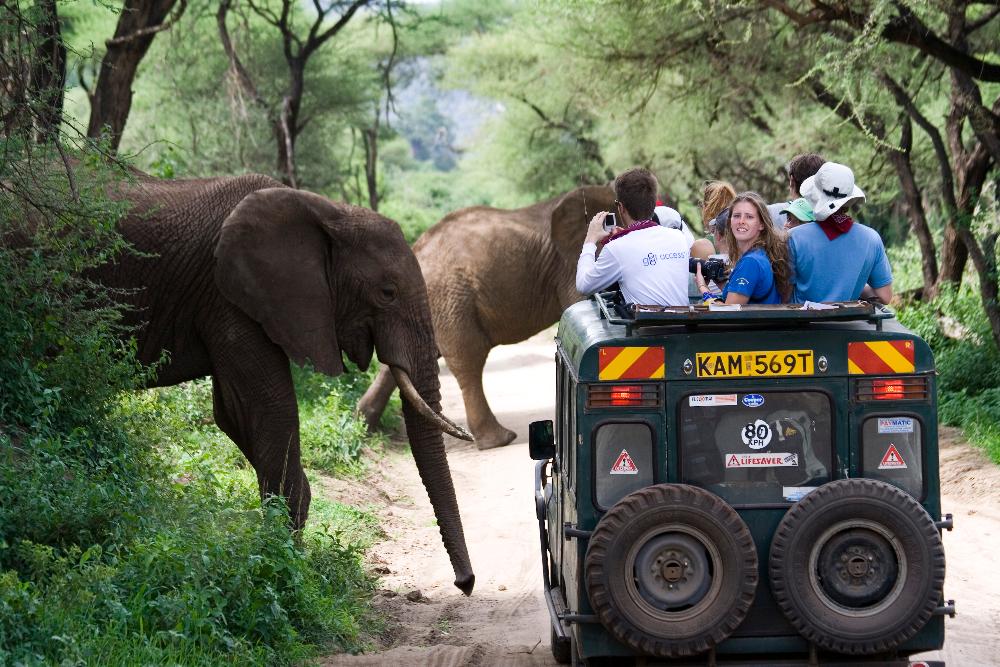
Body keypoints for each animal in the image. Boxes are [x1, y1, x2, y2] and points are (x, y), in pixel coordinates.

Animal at [74, 172, 476, 596]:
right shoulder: (230, 296)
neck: (328, 211)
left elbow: (235, 414)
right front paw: (288, 570)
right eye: (387, 293)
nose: (465, 584)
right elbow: (269, 409)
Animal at [356, 185, 612, 452]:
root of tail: (416, 250)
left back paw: (365, 428)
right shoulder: (568, 264)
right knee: (468, 358)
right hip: (450, 298)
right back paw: (499, 440)